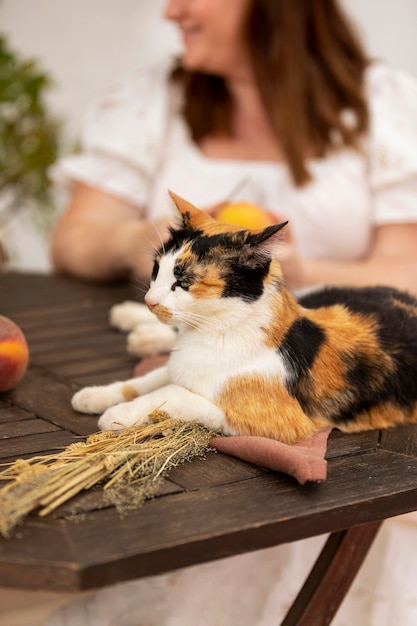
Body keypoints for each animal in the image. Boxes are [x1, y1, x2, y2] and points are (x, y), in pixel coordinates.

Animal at [72, 190, 417, 444]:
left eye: (184, 282)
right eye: (156, 270)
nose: (149, 301)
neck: (213, 331)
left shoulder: (281, 422)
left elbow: (173, 393)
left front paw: (120, 415)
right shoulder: (178, 366)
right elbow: (149, 379)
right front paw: (97, 395)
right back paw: (131, 320)